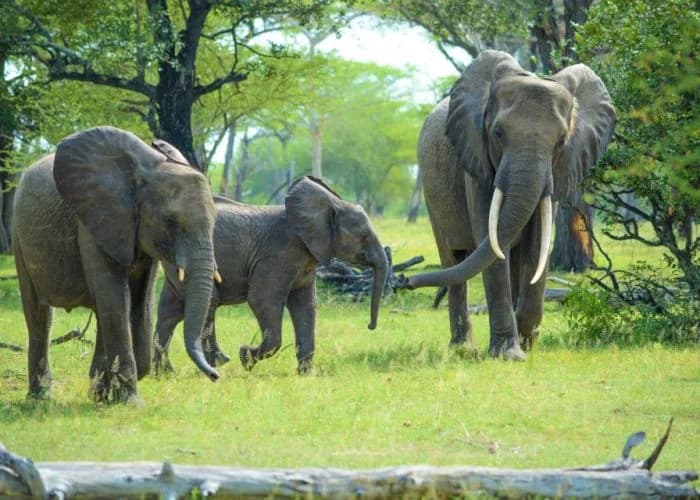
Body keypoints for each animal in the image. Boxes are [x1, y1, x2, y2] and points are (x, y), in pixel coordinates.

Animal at [12, 126, 221, 403]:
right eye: (170, 221)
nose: (216, 376)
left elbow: (140, 300)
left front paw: (110, 394)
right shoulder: (94, 220)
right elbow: (114, 295)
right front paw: (129, 402)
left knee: (101, 311)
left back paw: (96, 392)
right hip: (18, 234)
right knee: (39, 314)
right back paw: (40, 398)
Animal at [153, 176, 389, 375]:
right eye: (364, 236)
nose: (370, 326)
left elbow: (306, 305)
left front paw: (305, 374)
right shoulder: (277, 256)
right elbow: (263, 300)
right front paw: (245, 357)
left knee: (170, 310)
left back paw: (164, 374)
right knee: (207, 301)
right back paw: (218, 363)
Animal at [408, 50, 616, 359]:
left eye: (561, 141)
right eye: (497, 133)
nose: (408, 282)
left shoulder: (557, 172)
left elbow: (536, 245)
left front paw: (526, 344)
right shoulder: (476, 163)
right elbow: (494, 246)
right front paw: (509, 355)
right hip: (432, 195)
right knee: (453, 260)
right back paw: (462, 348)